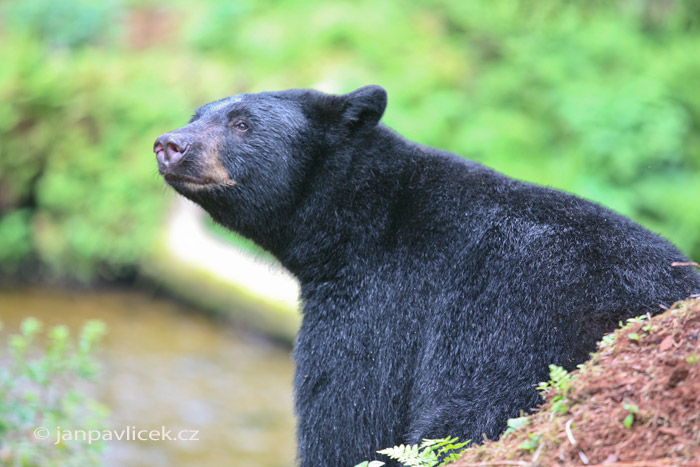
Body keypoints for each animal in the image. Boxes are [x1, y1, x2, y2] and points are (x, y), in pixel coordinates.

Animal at [154, 86, 700, 466]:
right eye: (197, 114)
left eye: (242, 123)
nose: (169, 143)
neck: (366, 217)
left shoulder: (382, 301)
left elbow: (352, 415)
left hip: (517, 337)